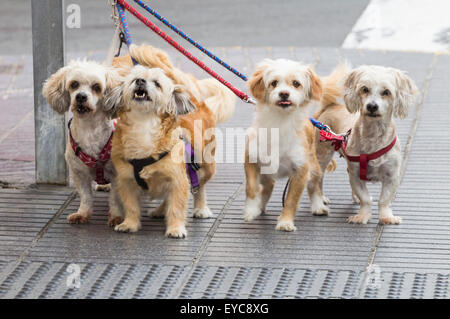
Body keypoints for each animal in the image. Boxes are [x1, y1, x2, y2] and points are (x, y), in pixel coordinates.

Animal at [42, 60, 123, 225]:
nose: (80, 96)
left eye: (97, 87)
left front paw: (116, 216)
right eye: (74, 84)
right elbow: (85, 196)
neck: (89, 130)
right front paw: (82, 213)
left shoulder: (118, 174)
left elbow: (115, 198)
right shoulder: (78, 173)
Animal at [106, 64, 232, 238]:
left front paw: (175, 229)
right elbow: (131, 206)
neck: (144, 125)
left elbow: (176, 208)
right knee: (167, 198)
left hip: (205, 166)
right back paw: (160, 211)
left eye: (157, 83)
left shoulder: (178, 180)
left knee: (199, 187)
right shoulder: (126, 181)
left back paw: (201, 208)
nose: (140, 81)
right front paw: (129, 224)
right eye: (134, 79)